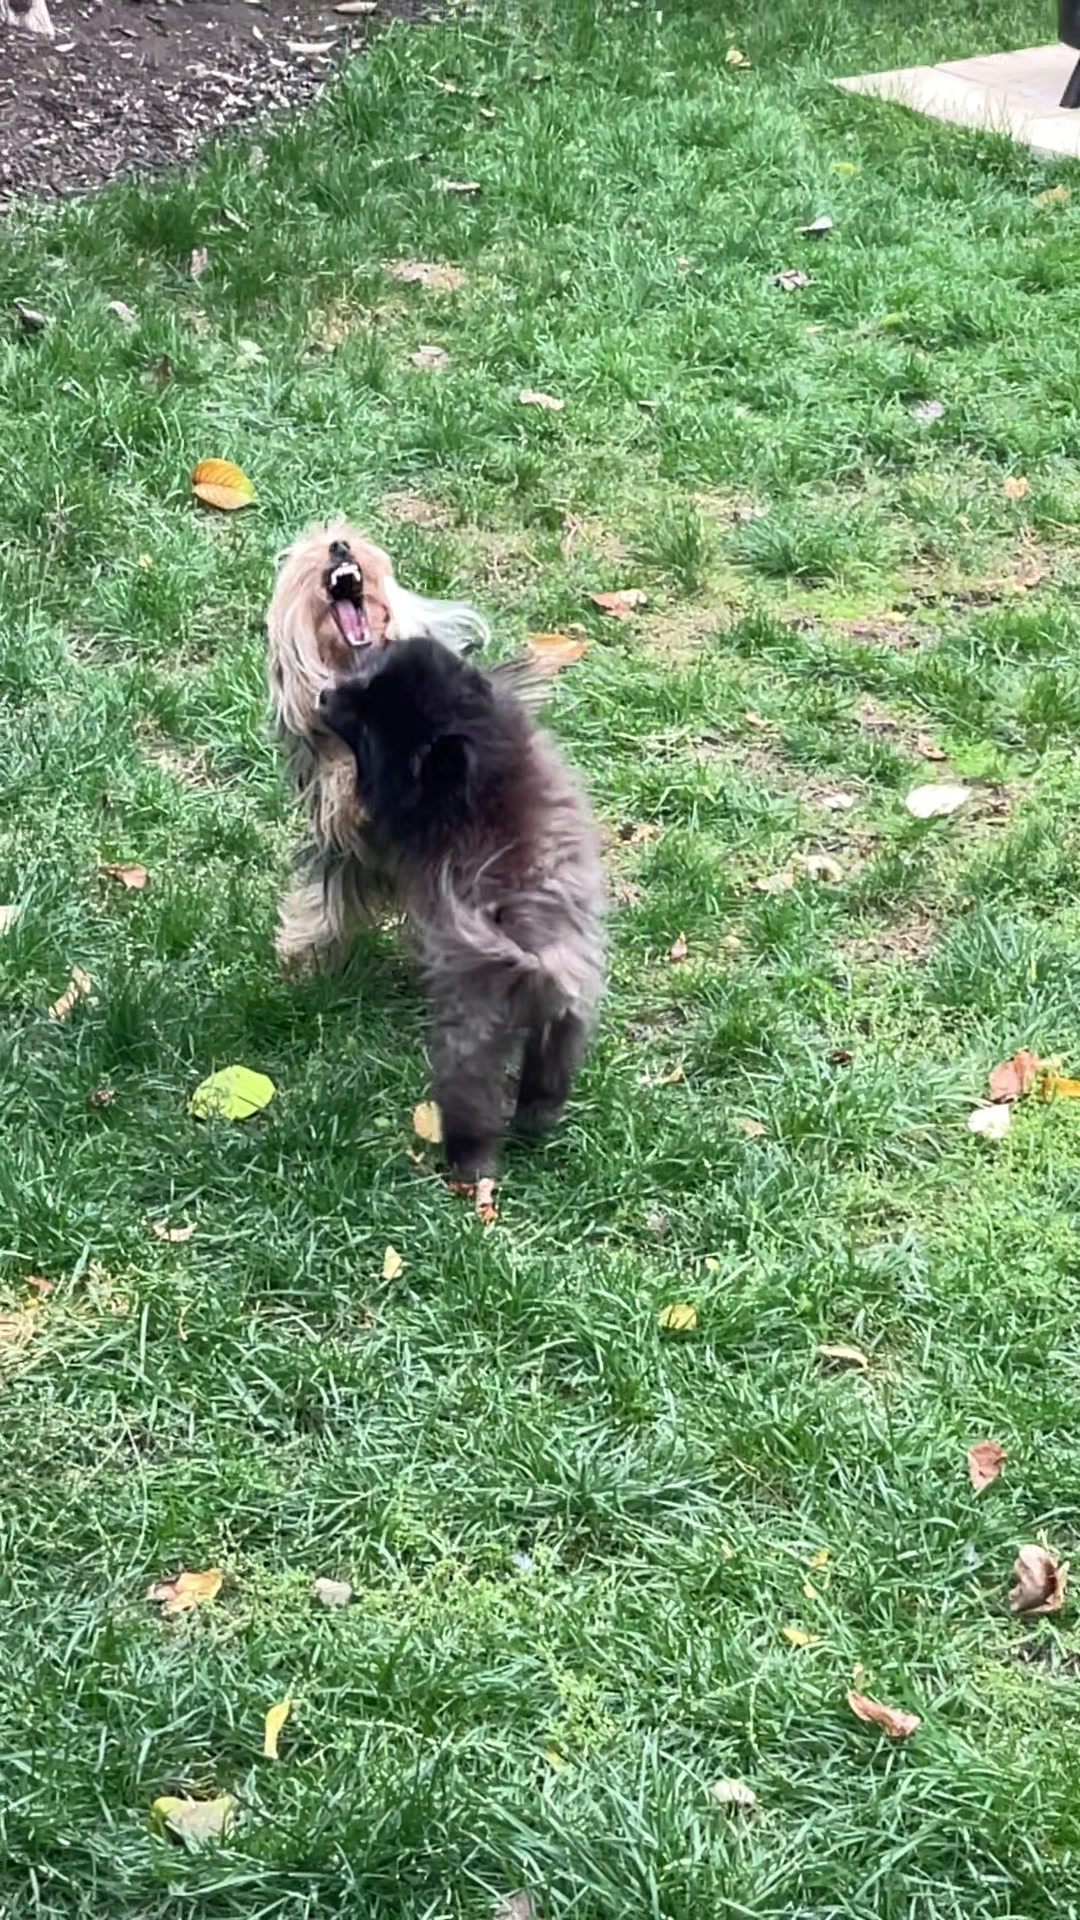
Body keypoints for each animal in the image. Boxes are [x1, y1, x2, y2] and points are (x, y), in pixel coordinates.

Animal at [318, 638, 604, 1185]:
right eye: (364, 680)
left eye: (365, 726)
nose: (325, 695)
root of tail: (531, 947)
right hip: (565, 1022)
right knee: (546, 1082)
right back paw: (534, 1122)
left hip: (467, 1041)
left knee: (470, 1102)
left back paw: (466, 1167)